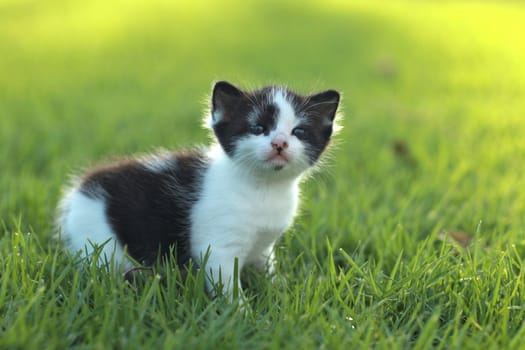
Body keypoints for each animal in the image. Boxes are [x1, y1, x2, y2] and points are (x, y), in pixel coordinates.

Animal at [57, 80, 342, 300]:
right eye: (258, 128)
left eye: (299, 131)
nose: (280, 143)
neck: (264, 187)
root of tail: (79, 191)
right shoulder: (218, 246)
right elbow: (226, 283)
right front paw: (241, 314)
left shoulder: (264, 245)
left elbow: (267, 267)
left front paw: (281, 290)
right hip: (98, 243)